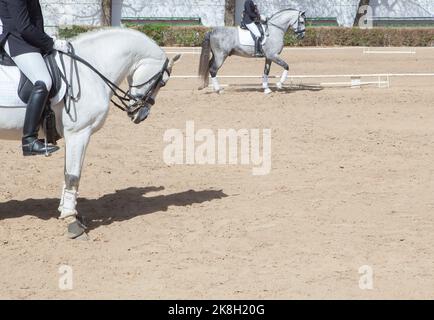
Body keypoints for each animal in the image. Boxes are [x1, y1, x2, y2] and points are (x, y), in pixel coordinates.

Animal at [0, 28, 180, 238]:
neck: (89, 70)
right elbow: (73, 176)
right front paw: (71, 220)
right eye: (163, 83)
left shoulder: (74, 136)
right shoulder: (79, 133)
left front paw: (68, 212)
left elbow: (68, 172)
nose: (140, 115)